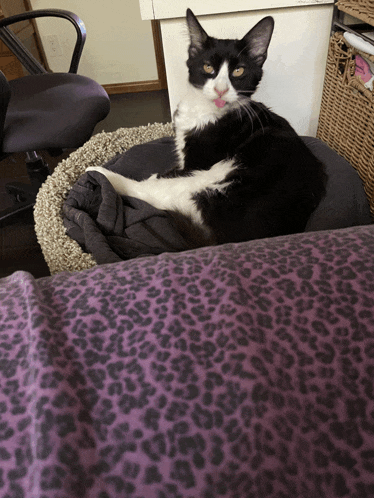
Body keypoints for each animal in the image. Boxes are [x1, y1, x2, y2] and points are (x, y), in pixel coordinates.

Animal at [87, 6, 324, 248]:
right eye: (208, 66)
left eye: (238, 71)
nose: (220, 89)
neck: (205, 111)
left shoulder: (197, 162)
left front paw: (154, 175)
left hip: (213, 185)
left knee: (148, 192)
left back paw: (100, 173)